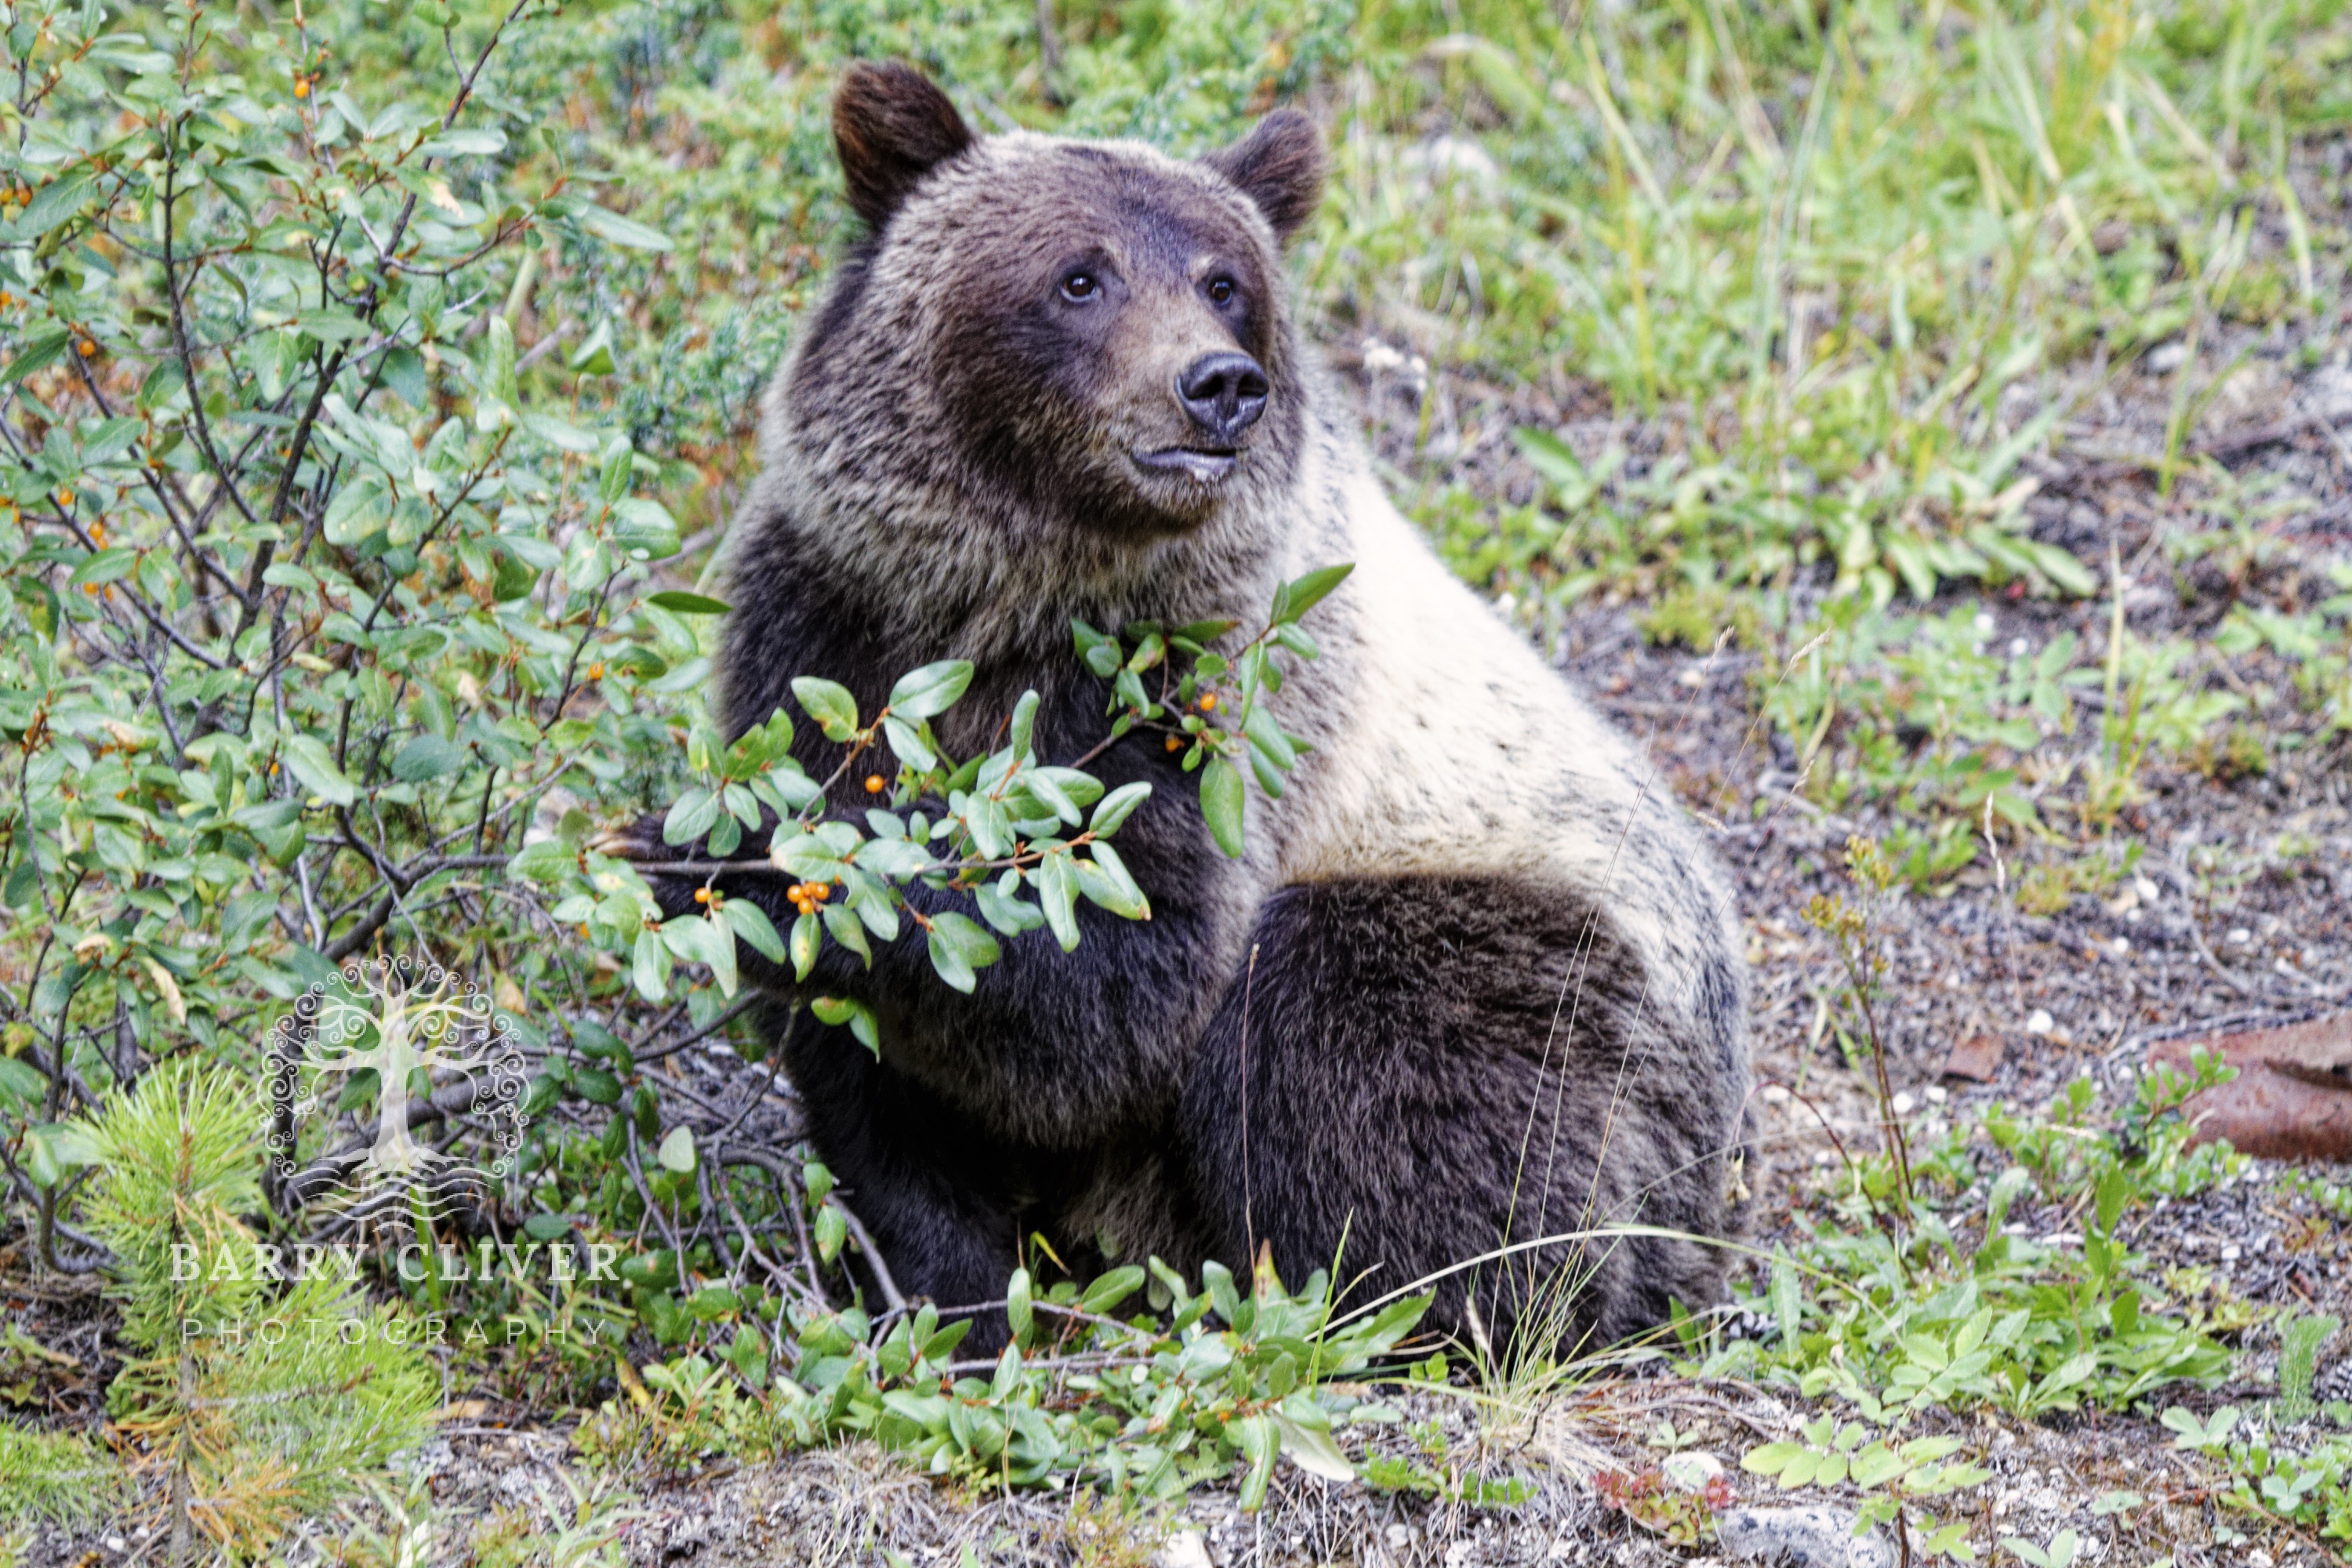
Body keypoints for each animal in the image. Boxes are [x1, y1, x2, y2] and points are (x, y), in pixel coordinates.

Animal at [633, 60, 1752, 1357]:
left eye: (1225, 282)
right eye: (1080, 275)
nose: (1217, 384)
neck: (1009, 603)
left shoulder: (1209, 703)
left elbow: (1112, 984)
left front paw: (725, 854)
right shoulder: (826, 631)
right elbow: (874, 1089)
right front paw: (940, 1290)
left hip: (1561, 960)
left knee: (1354, 1039)